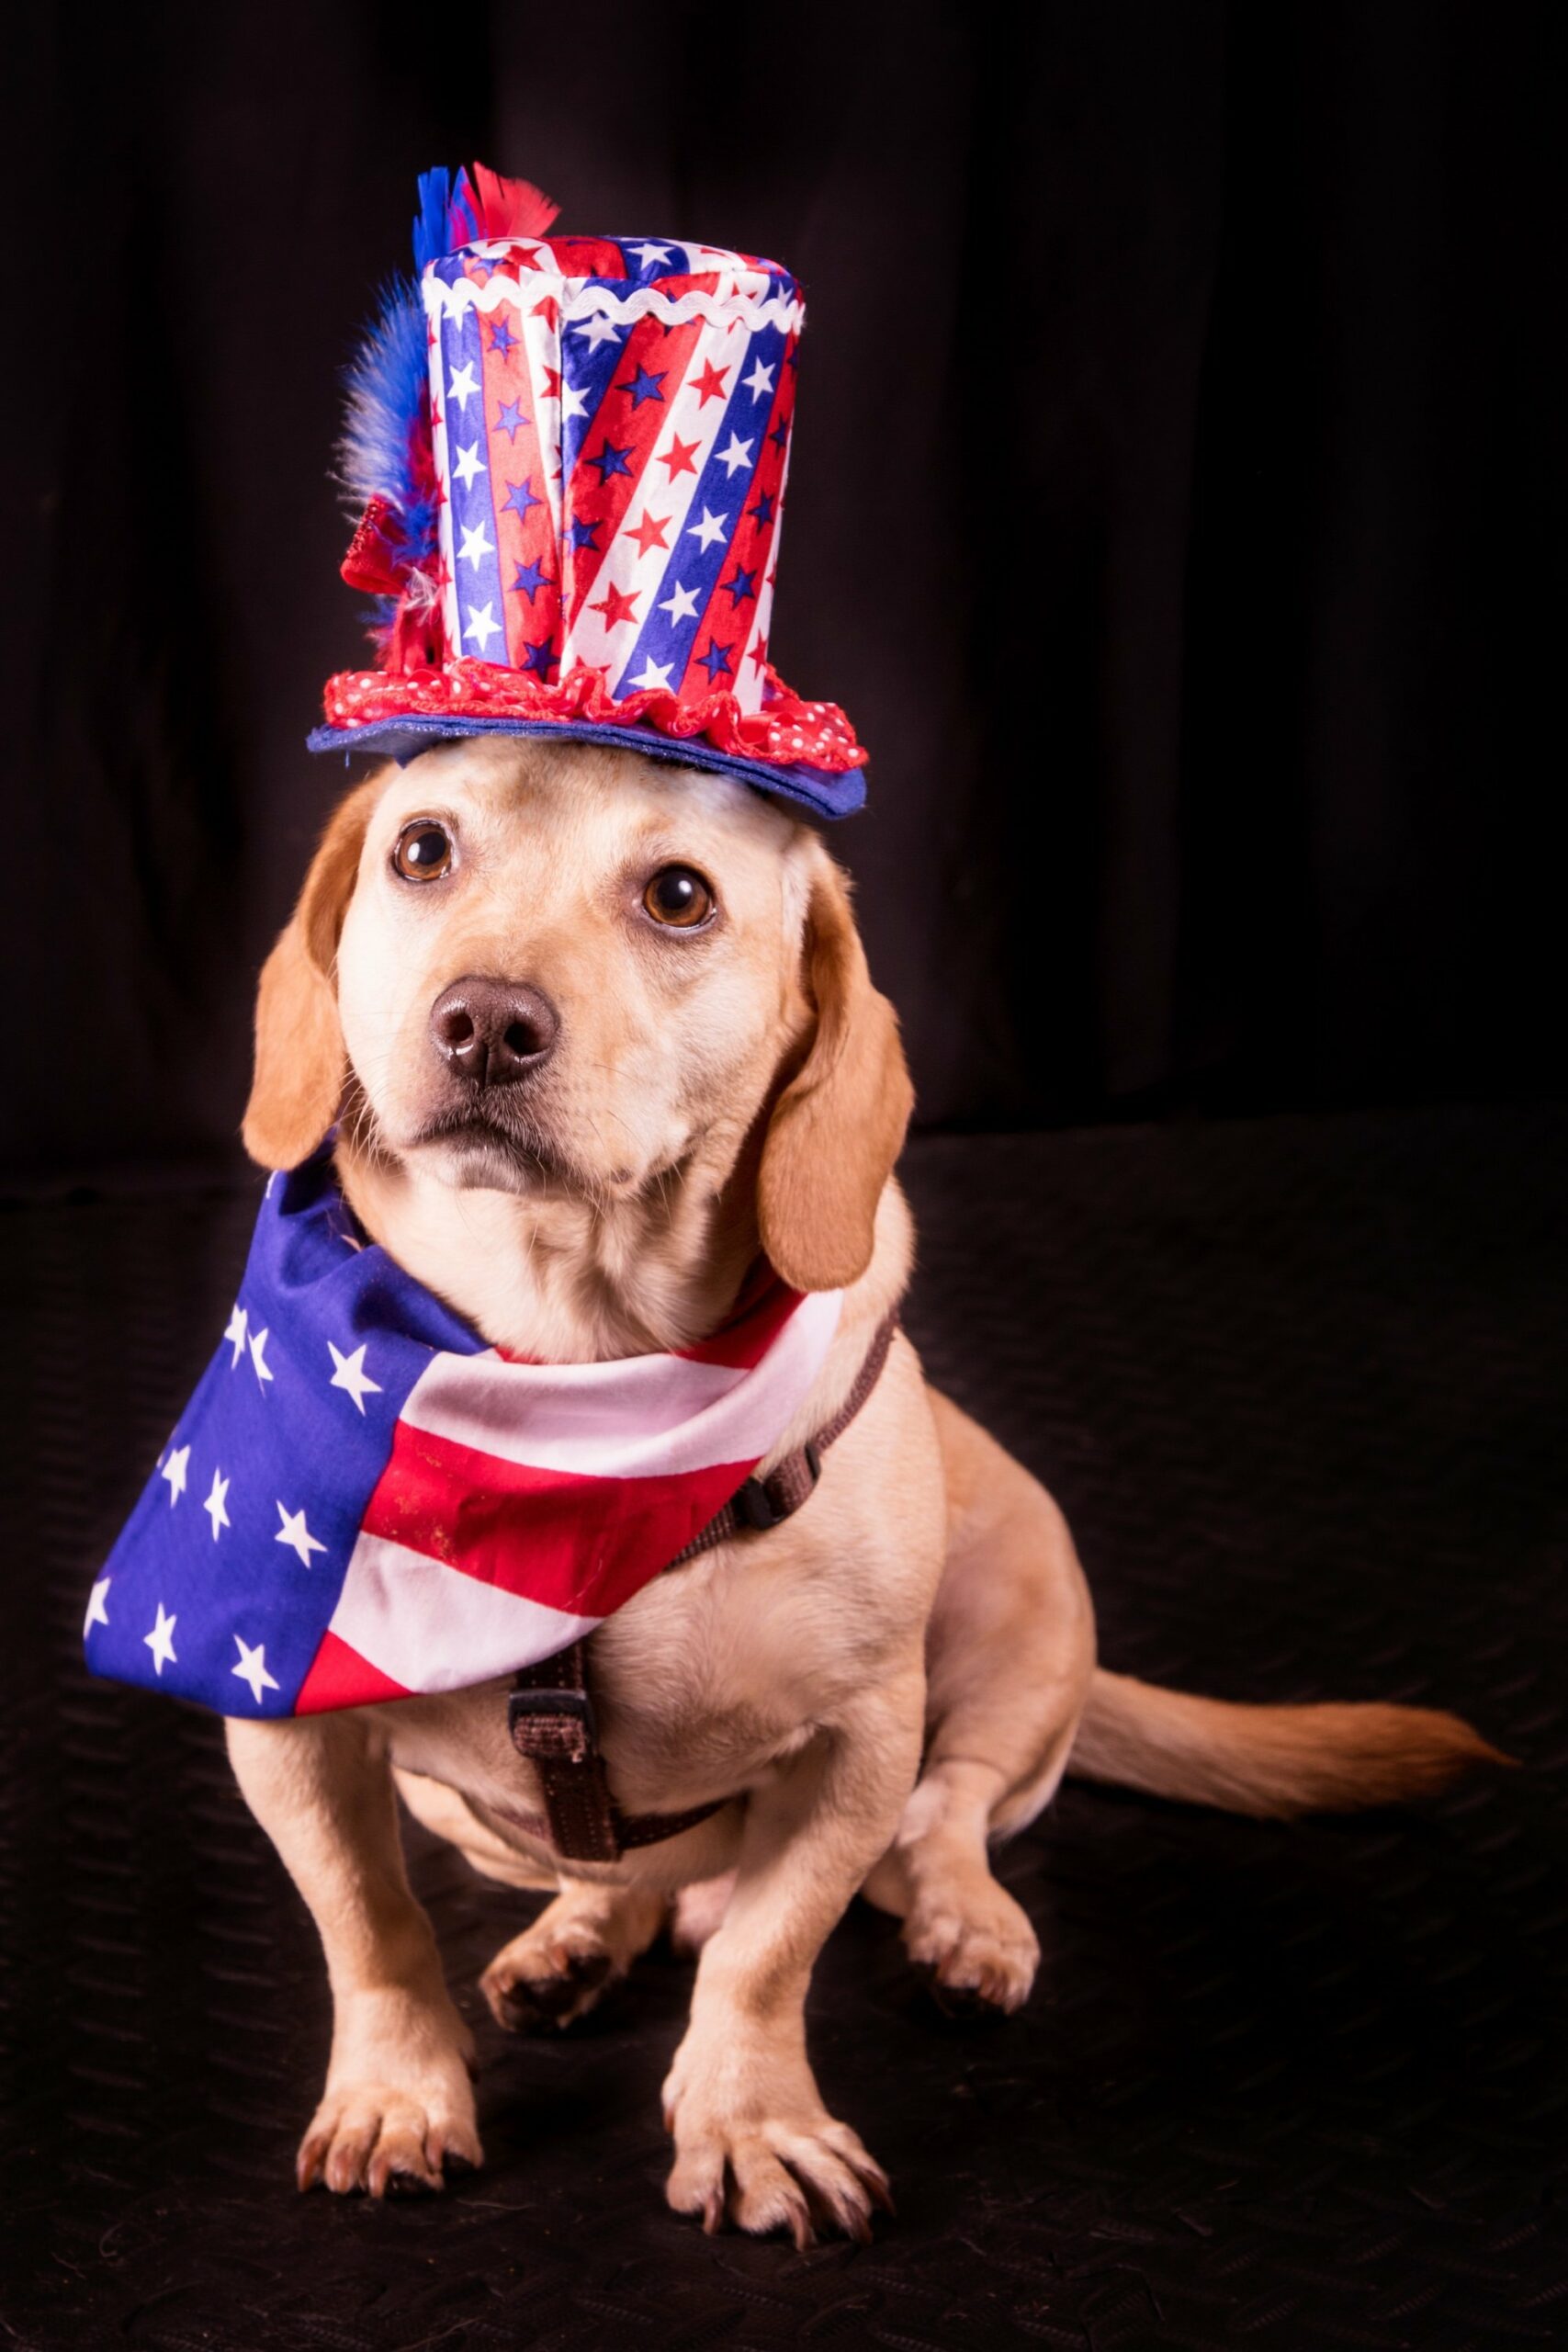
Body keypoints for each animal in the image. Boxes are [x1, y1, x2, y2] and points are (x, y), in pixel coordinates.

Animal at [230, 733, 1495, 2239]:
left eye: (676, 895)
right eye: (422, 849)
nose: (484, 1022)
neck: (576, 1390)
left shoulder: (857, 1738)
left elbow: (771, 1952)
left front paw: (750, 2120)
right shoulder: (284, 1734)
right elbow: (370, 1927)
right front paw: (398, 2092)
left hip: (1021, 1602)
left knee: (943, 1821)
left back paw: (962, 1928)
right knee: (615, 1881)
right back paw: (579, 1939)